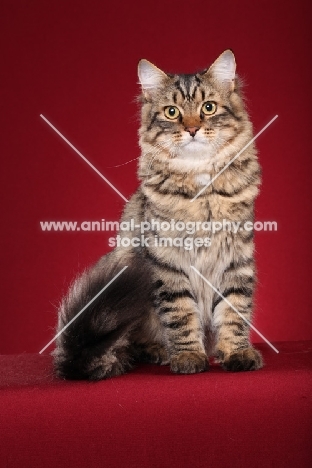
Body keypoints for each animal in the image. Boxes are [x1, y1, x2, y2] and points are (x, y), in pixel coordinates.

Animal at [54, 50, 264, 380]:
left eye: (208, 107)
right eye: (172, 112)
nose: (191, 129)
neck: (200, 187)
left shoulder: (236, 258)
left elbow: (234, 309)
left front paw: (236, 353)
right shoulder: (167, 261)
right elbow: (181, 314)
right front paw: (188, 356)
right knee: (132, 344)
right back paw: (158, 352)